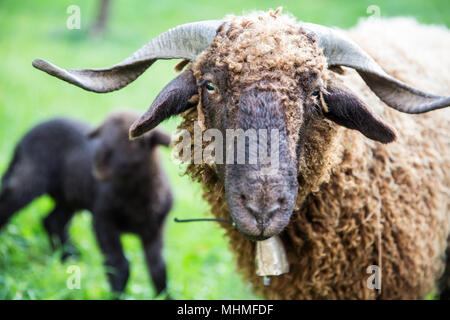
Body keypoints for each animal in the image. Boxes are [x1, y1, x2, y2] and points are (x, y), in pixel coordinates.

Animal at [0, 110, 172, 298]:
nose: (98, 162)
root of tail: (22, 141)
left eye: (135, 140)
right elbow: (119, 265)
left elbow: (158, 268)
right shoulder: (103, 221)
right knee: (7, 206)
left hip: (69, 196)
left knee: (52, 221)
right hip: (27, 179)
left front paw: (165, 296)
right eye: (102, 135)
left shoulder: (154, 229)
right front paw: (117, 296)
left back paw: (70, 259)